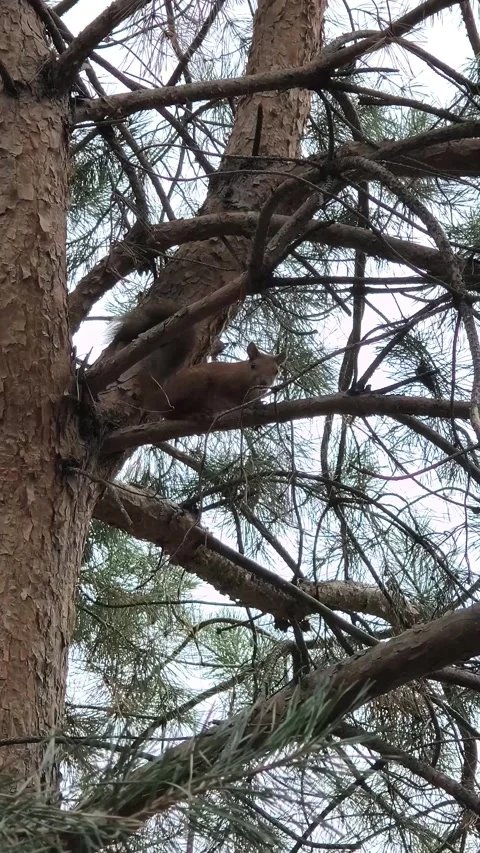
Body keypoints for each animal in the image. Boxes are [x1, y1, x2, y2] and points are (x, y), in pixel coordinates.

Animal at [107, 299, 286, 418]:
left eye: (276, 371)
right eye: (253, 365)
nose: (263, 383)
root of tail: (161, 397)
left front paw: (259, 404)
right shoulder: (228, 382)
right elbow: (234, 398)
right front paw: (247, 406)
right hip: (195, 383)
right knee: (173, 413)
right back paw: (196, 413)